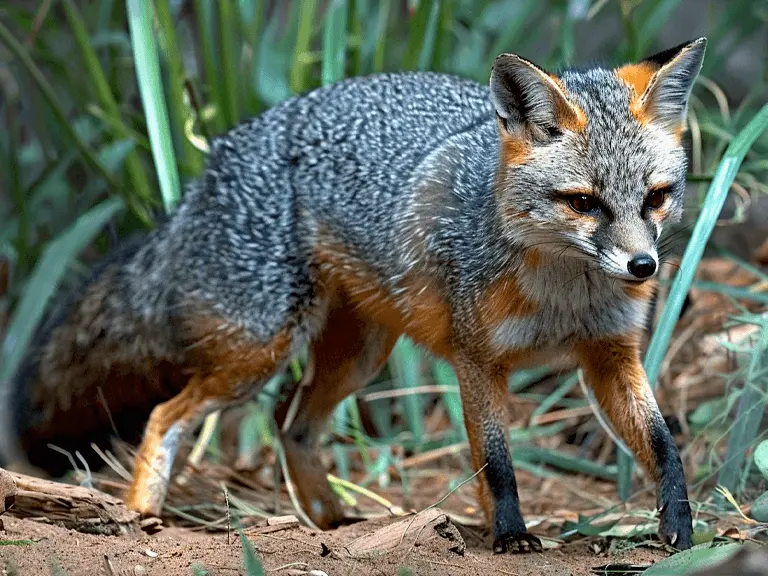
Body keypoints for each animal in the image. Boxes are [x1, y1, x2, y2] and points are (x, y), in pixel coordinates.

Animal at [0, 37, 707, 553]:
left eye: (655, 197)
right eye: (584, 203)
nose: (643, 266)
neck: (563, 298)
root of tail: (215, 157)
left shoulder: (610, 355)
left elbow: (663, 445)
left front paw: (679, 525)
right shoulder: (478, 360)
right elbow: (497, 461)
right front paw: (509, 535)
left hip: (357, 357)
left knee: (291, 423)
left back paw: (331, 524)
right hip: (259, 353)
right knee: (166, 415)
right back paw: (140, 515)